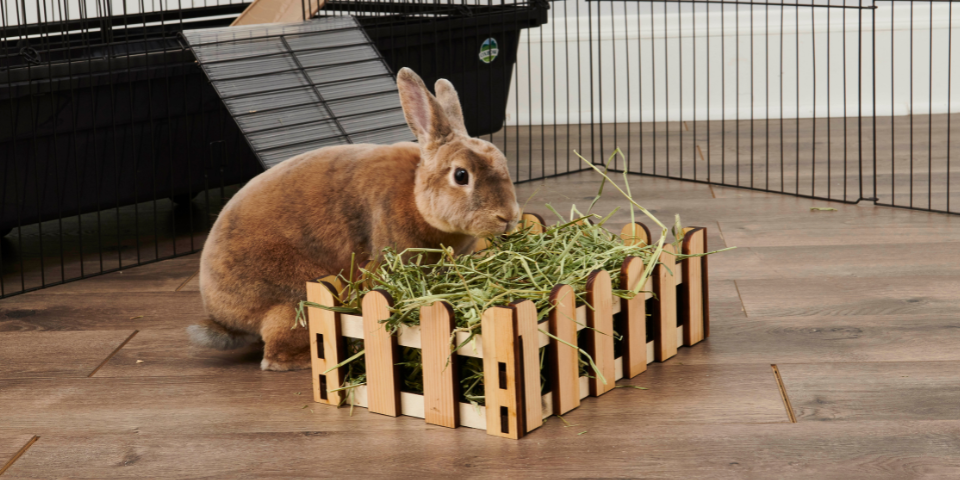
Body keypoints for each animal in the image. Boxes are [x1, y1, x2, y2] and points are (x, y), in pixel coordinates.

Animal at [186, 68, 516, 372]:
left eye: (504, 162)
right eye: (461, 175)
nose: (509, 217)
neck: (415, 196)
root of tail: (222, 317)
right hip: (299, 298)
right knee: (276, 356)